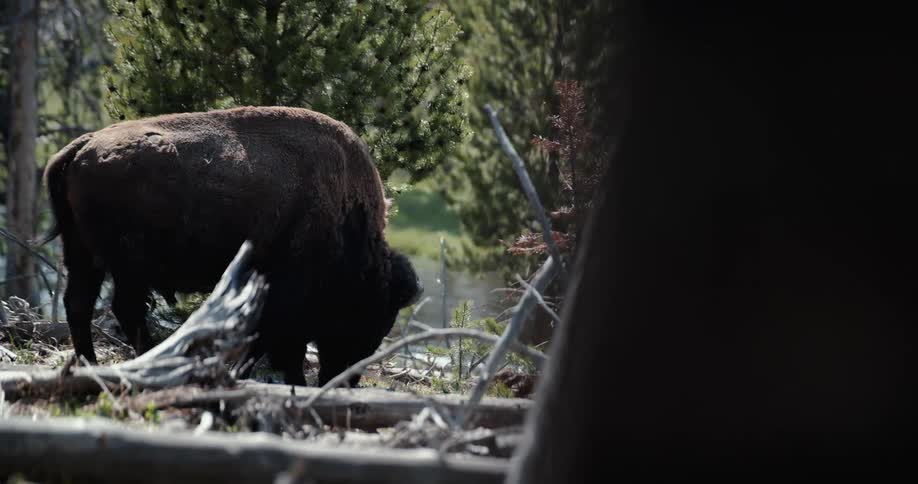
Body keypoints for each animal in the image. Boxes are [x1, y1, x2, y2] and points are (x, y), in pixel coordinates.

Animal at [39, 106, 423, 386]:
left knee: (79, 304)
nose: (346, 379)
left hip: (84, 256)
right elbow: (279, 346)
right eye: (373, 313)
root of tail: (82, 146)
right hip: (126, 267)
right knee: (124, 308)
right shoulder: (283, 299)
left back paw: (90, 365)